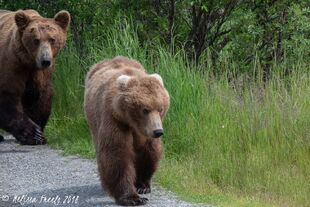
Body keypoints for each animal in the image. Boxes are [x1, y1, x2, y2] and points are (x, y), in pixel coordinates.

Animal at [84, 56, 170, 205]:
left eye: (160, 108)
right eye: (145, 110)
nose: (158, 131)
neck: (132, 122)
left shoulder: (145, 131)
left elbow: (149, 151)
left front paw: (142, 185)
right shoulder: (115, 119)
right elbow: (117, 153)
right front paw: (132, 198)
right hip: (94, 121)